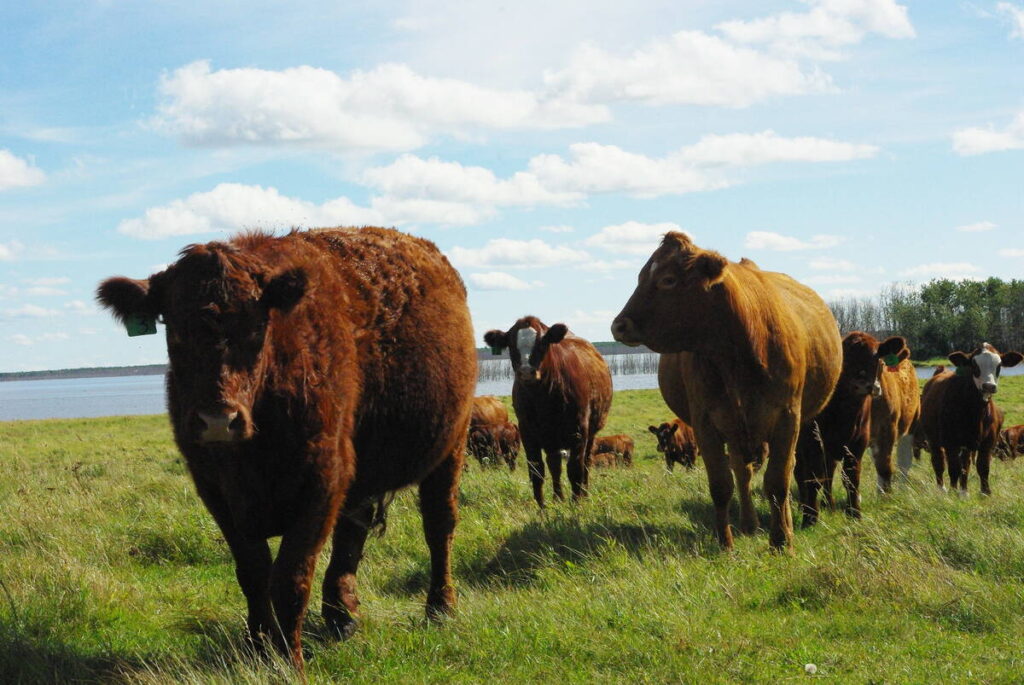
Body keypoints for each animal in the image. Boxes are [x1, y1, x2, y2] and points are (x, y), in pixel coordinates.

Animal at [96, 227, 476, 671]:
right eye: (174, 329)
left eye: (257, 328)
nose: (218, 421)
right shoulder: (214, 488)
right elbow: (253, 572)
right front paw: (258, 648)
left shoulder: (322, 479)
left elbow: (290, 578)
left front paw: (289, 660)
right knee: (353, 531)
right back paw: (343, 617)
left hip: (451, 443)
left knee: (439, 525)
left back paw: (440, 608)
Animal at [483, 317, 612, 506]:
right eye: (511, 345)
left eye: (543, 343)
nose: (526, 372)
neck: (543, 399)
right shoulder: (527, 431)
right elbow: (536, 471)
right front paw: (542, 508)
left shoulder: (579, 430)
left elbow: (575, 470)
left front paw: (576, 504)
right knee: (554, 465)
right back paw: (558, 498)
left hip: (591, 432)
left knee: (586, 463)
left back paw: (584, 494)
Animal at [611, 232, 841, 550]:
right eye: (641, 276)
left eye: (668, 279)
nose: (618, 325)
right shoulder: (706, 422)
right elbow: (721, 484)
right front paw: (726, 544)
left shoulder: (787, 418)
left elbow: (777, 482)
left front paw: (782, 542)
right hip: (735, 430)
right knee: (742, 472)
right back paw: (748, 524)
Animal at [795, 332, 913, 526]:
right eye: (846, 360)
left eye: (878, 359)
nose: (866, 385)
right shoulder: (812, 441)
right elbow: (813, 478)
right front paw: (810, 518)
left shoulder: (857, 443)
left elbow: (851, 478)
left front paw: (854, 513)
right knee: (801, 473)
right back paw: (804, 506)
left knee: (828, 474)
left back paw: (829, 505)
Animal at [919, 343, 1022, 495]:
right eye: (974, 365)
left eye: (999, 365)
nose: (989, 386)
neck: (976, 413)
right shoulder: (951, 442)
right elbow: (954, 468)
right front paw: (953, 491)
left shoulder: (988, 442)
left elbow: (983, 467)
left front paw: (985, 492)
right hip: (933, 439)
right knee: (939, 462)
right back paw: (942, 489)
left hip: (967, 446)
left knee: (965, 465)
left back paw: (964, 491)